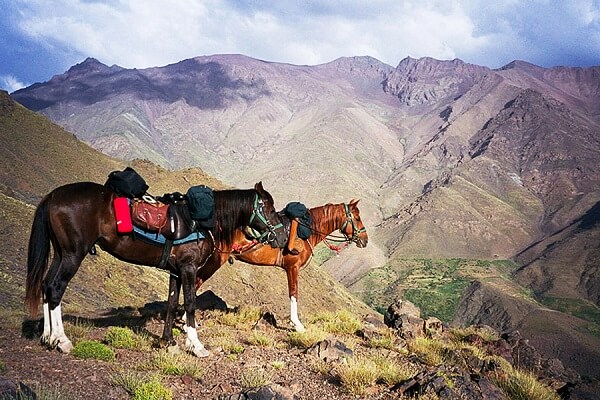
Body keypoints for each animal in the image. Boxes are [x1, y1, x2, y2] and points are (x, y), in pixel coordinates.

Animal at [24, 181, 284, 356]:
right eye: (270, 209)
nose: (281, 238)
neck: (200, 221)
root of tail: (53, 195)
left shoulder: (176, 270)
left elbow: (172, 303)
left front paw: (167, 342)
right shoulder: (188, 269)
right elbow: (190, 304)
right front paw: (196, 345)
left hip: (60, 253)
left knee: (47, 286)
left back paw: (47, 336)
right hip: (73, 255)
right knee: (56, 288)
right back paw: (61, 340)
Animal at [176, 200, 368, 334]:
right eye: (357, 218)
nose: (365, 240)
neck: (306, 229)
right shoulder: (293, 268)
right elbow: (294, 294)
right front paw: (297, 325)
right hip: (214, 261)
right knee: (196, 283)